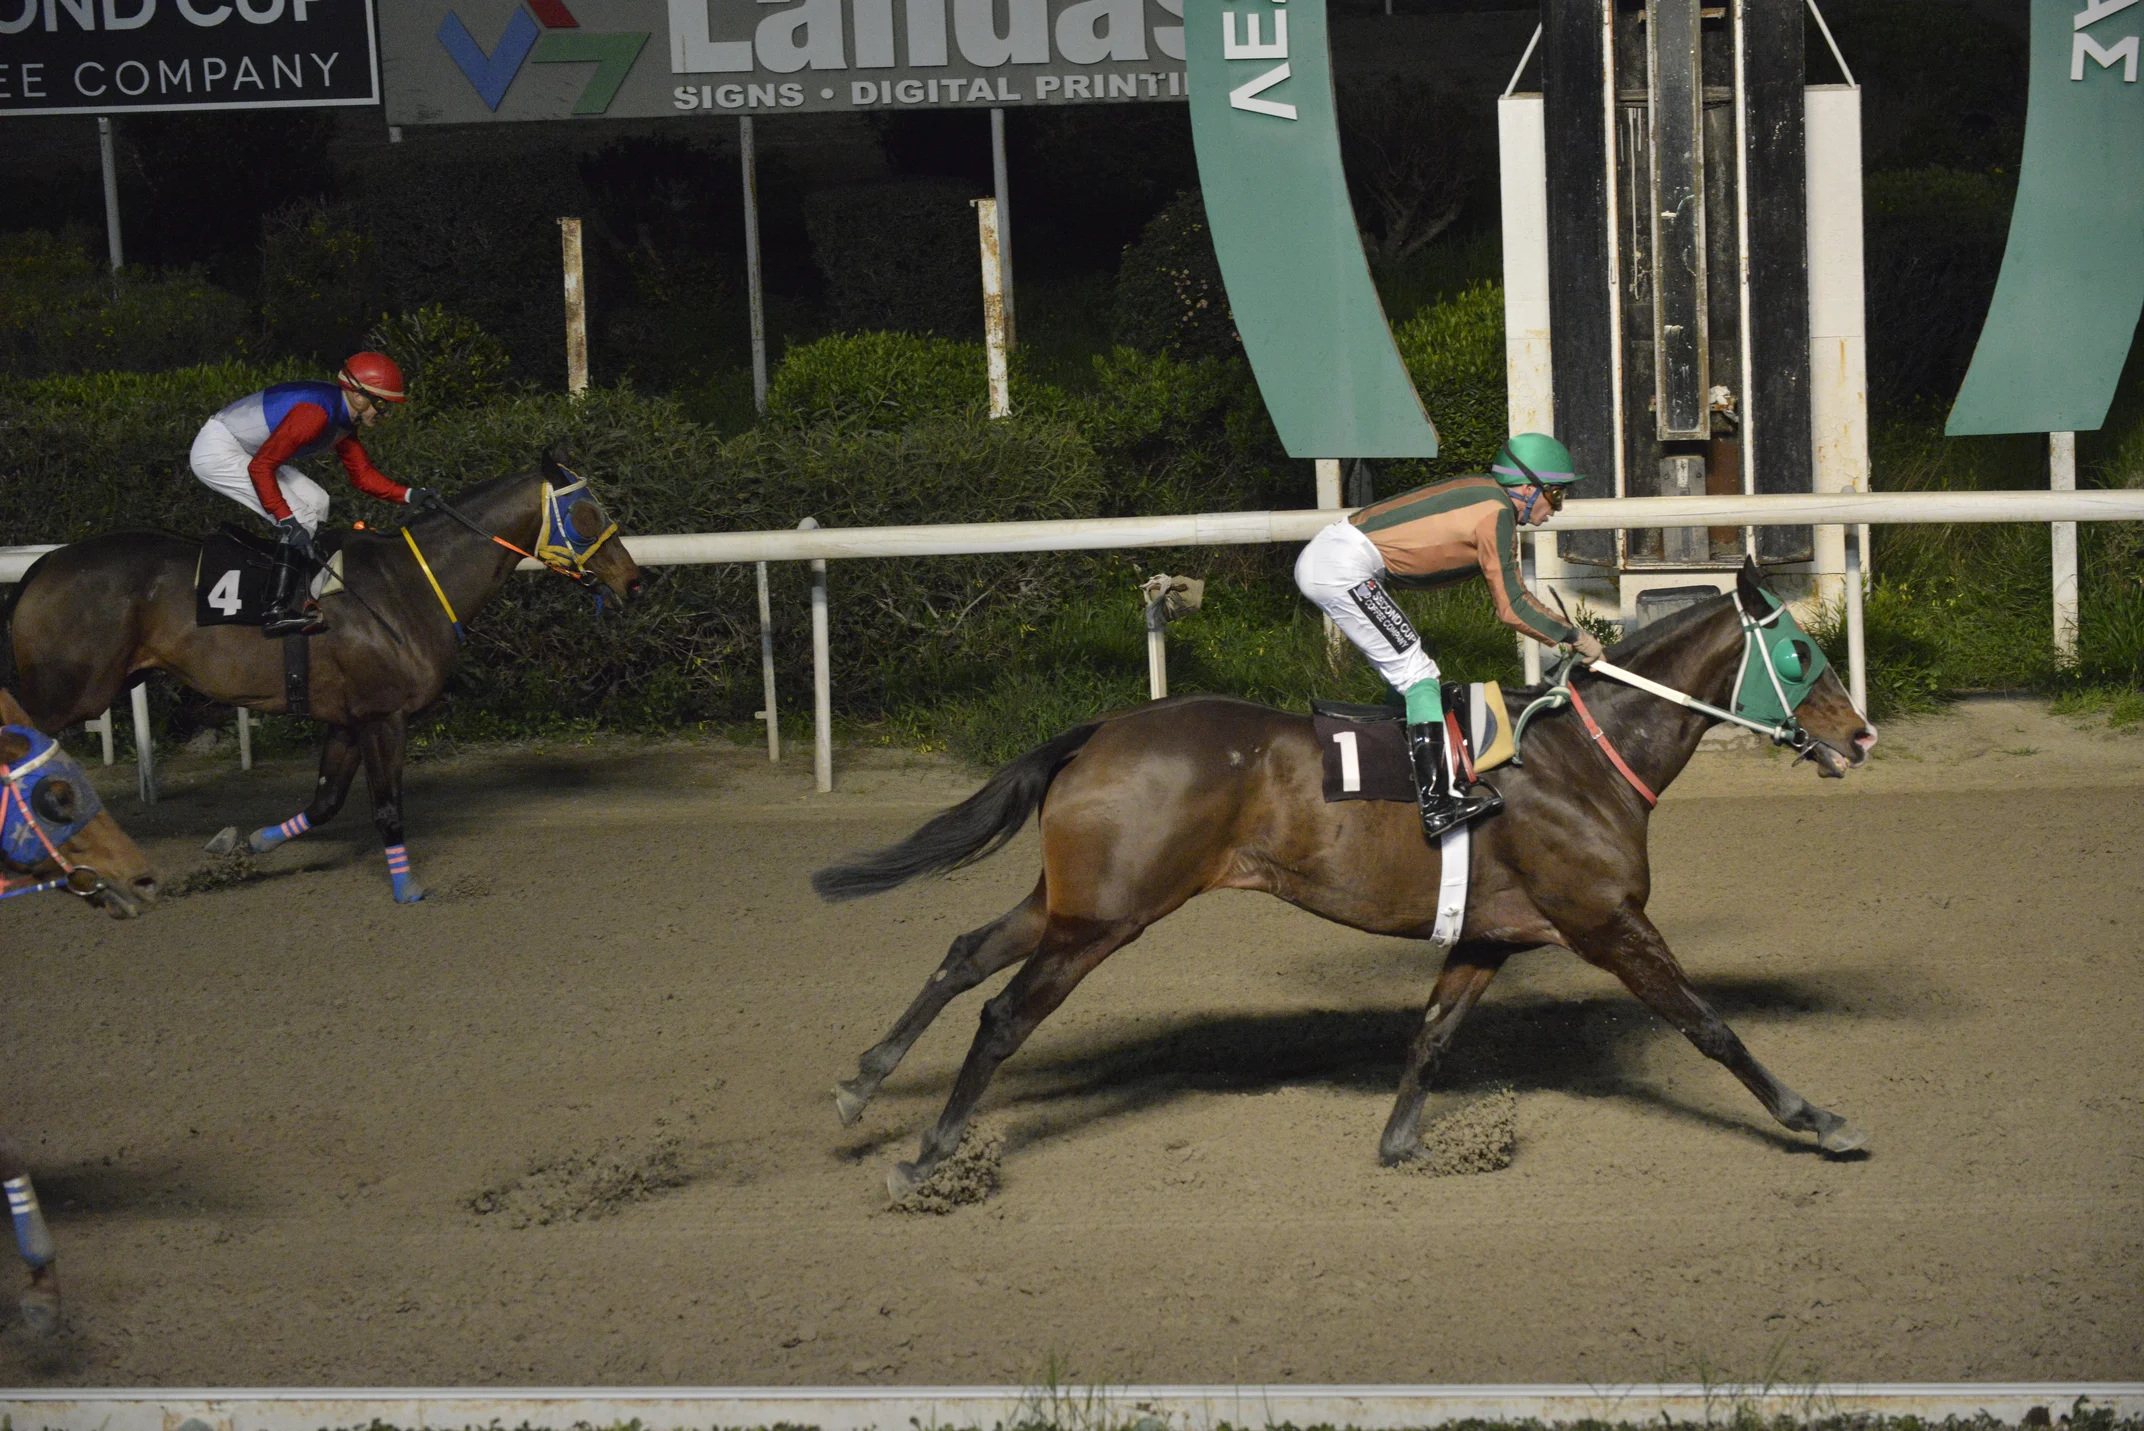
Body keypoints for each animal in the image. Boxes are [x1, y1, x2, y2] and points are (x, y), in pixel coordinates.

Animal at [3, 454, 642, 902]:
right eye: (587, 513)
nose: (633, 581)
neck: (411, 584)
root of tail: (44, 563)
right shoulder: (385, 715)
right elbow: (386, 807)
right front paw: (407, 888)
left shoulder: (348, 715)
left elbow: (326, 800)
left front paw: (251, 842)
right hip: (71, 689)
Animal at [814, 559, 1878, 1199]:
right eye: (1801, 653)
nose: (1862, 735)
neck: (1585, 758)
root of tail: (1103, 727)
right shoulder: (1608, 920)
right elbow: (1710, 1025)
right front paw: (1819, 1120)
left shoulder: (1490, 933)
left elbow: (1433, 1035)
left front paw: (1407, 1144)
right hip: (1108, 917)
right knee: (1002, 1015)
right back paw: (928, 1155)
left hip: (1073, 899)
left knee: (964, 952)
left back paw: (862, 1086)